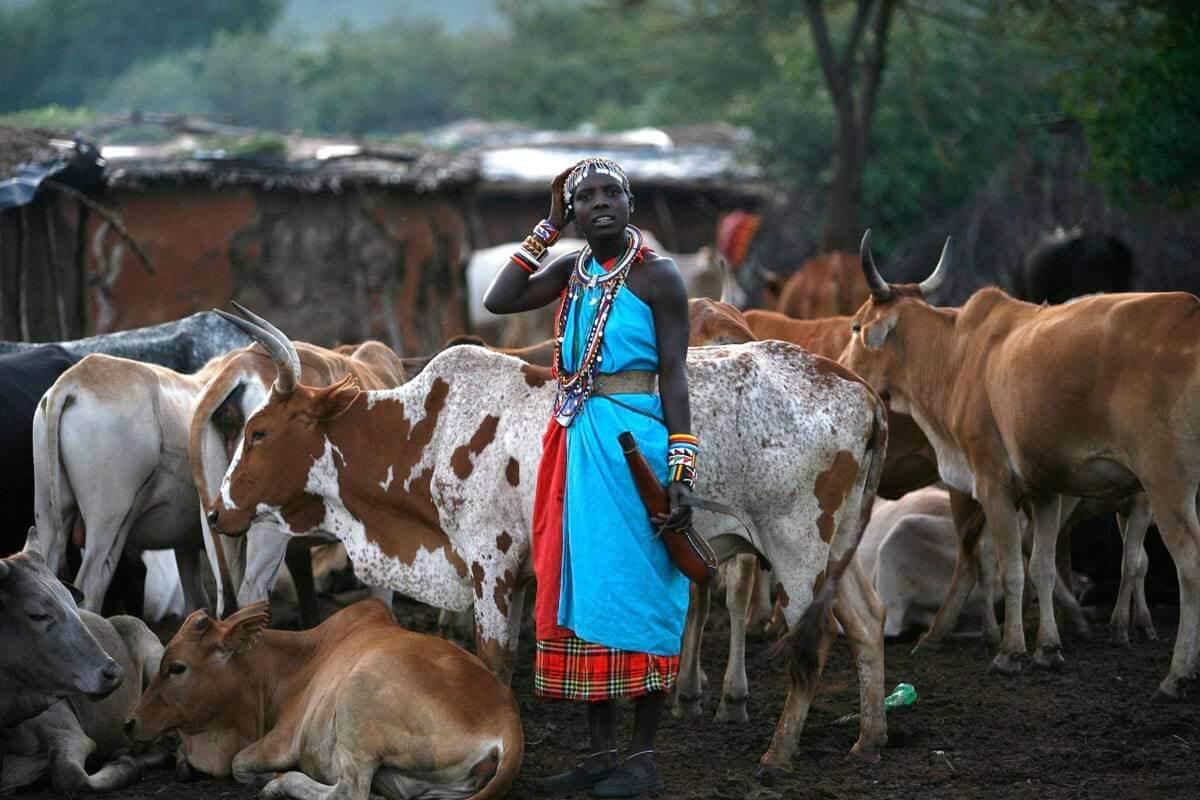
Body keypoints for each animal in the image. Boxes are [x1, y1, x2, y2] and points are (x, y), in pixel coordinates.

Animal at [124, 599, 523, 800]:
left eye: (177, 668)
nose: (130, 722)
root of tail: (507, 719)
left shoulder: (284, 738)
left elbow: (239, 765)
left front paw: (270, 778)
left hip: (358, 697)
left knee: (350, 792)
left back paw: (281, 785)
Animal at [206, 307, 897, 767]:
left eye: (260, 432)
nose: (215, 513)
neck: (428, 432)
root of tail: (858, 388)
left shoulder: (491, 566)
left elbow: (492, 660)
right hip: (838, 549)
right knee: (867, 623)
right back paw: (870, 738)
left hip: (797, 546)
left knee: (814, 647)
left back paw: (777, 754)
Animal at [844, 231, 1200, 700]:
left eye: (855, 326)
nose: (840, 369)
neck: (959, 355)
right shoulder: (1044, 491)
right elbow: (1042, 568)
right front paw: (1047, 648)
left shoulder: (994, 486)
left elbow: (1011, 570)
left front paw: (1010, 653)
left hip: (1166, 485)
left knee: (1188, 566)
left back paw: (1177, 674)